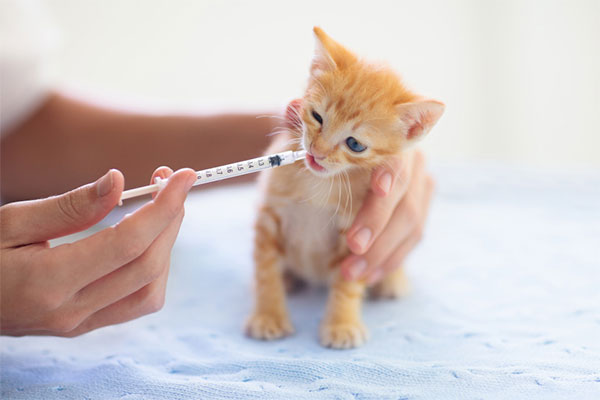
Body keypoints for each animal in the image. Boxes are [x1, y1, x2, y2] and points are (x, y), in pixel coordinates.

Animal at [245, 26, 446, 348]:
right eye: (317, 116)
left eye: (355, 144)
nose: (316, 152)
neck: (319, 182)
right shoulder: (269, 214)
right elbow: (265, 270)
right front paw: (268, 315)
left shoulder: (356, 235)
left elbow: (348, 283)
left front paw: (341, 324)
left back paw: (392, 280)